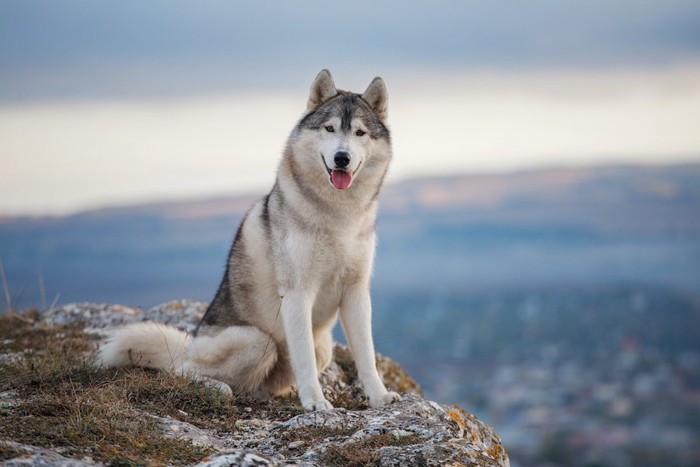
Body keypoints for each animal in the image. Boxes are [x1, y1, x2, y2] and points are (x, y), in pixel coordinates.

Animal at [101, 69, 402, 410]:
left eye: (360, 133)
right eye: (330, 128)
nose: (342, 158)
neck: (338, 215)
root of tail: (189, 346)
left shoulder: (356, 291)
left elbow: (366, 354)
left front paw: (378, 396)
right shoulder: (297, 293)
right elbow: (304, 358)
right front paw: (315, 403)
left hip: (322, 346)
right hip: (256, 341)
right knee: (183, 370)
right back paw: (217, 388)